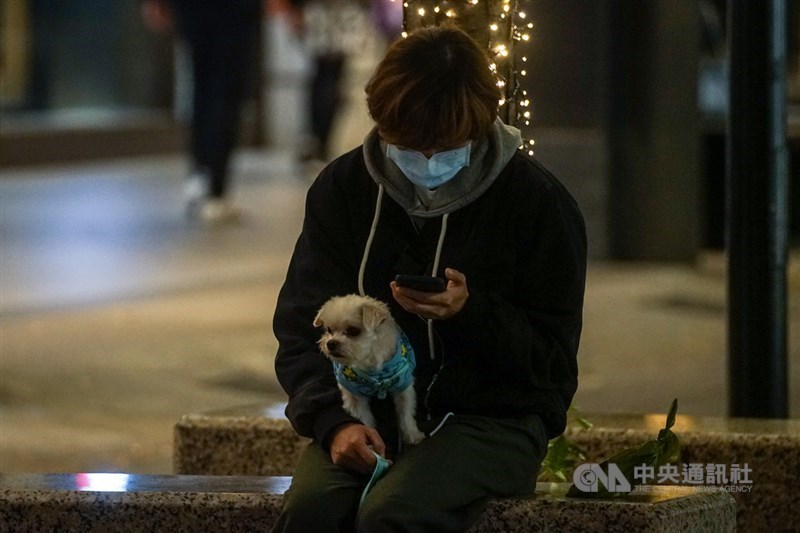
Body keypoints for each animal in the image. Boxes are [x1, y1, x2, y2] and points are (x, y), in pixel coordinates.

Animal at [312, 296, 424, 444]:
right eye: (329, 330)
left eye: (353, 331)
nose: (331, 343)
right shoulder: (354, 397)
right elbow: (364, 421)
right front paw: (368, 443)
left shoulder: (403, 386)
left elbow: (405, 413)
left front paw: (412, 434)